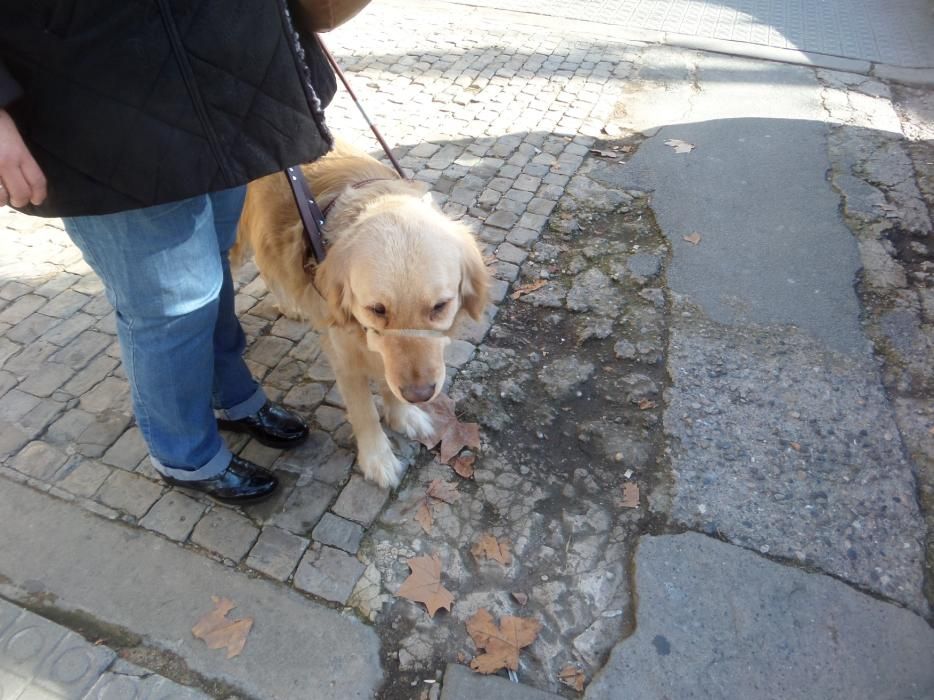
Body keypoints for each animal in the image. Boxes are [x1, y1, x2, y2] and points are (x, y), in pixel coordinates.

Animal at [236, 137, 490, 486]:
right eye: (376, 309)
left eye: (440, 306)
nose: (420, 394)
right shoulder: (344, 354)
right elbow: (364, 411)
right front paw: (377, 458)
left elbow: (388, 381)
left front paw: (402, 415)